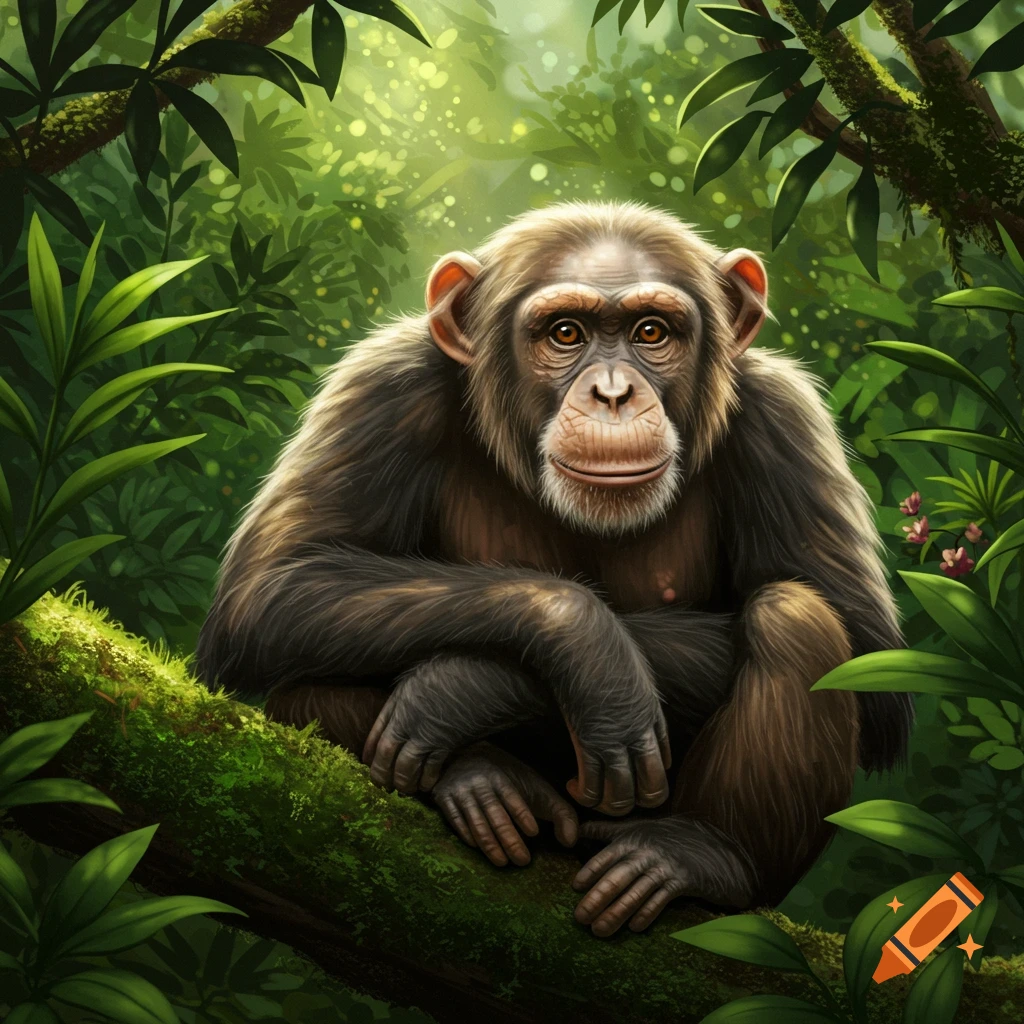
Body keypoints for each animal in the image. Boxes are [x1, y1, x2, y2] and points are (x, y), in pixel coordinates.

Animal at [196, 201, 913, 937]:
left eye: (652, 332)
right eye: (565, 333)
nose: (613, 393)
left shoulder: (786, 423)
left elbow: (871, 661)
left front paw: (466, 688)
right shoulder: (381, 388)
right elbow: (275, 582)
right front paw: (587, 649)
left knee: (795, 616)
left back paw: (701, 856)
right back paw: (484, 780)